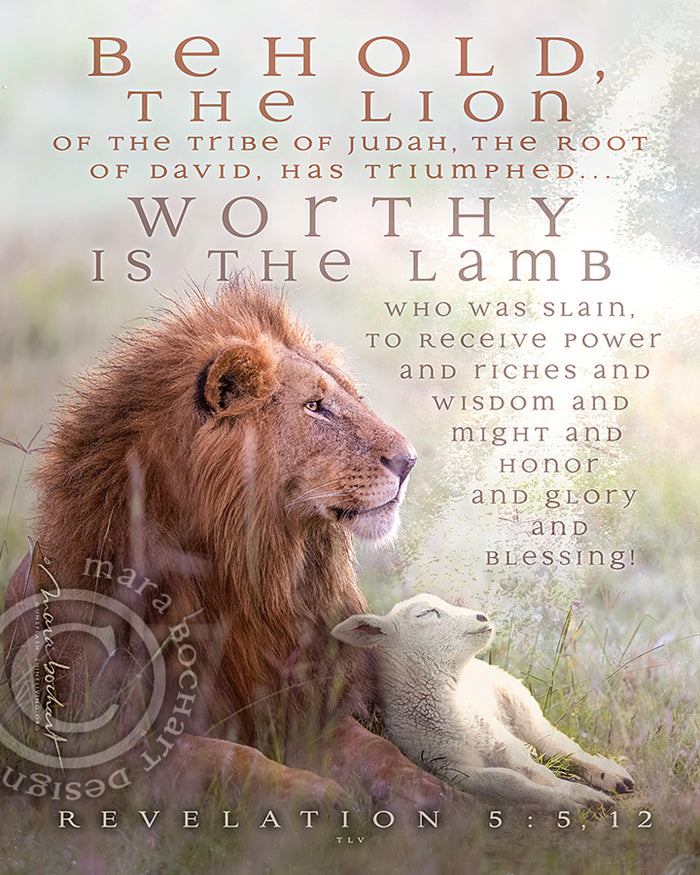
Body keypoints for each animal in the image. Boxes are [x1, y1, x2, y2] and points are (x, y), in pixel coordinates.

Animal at [3, 277, 458, 810]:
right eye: (315, 406)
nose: (410, 462)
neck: (251, 576)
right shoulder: (100, 743)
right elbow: (227, 758)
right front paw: (319, 797)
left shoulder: (306, 707)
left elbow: (379, 751)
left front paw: (443, 797)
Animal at [332, 593, 634, 812]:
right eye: (426, 613)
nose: (482, 616)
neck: (450, 712)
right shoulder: (449, 768)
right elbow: (508, 781)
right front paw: (569, 801)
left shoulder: (505, 748)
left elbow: (539, 773)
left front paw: (582, 795)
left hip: (523, 707)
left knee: (560, 747)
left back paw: (613, 777)